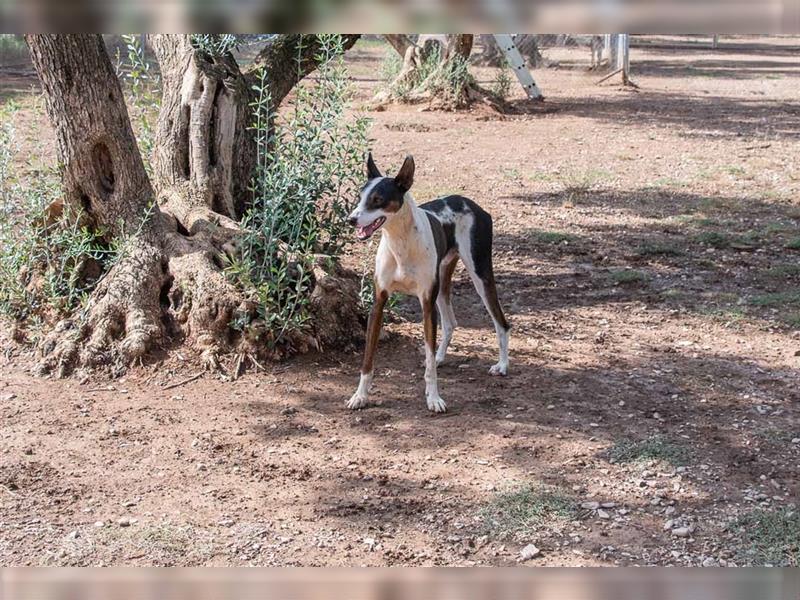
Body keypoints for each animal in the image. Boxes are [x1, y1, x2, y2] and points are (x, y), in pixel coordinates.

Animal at [346, 152, 510, 412]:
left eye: (378, 199)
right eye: (360, 198)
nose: (351, 219)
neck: (401, 244)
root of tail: (469, 203)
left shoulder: (426, 303)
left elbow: (430, 367)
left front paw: (434, 398)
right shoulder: (379, 303)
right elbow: (368, 358)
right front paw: (360, 396)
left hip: (480, 275)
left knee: (501, 322)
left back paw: (502, 365)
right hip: (442, 284)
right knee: (450, 323)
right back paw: (440, 356)